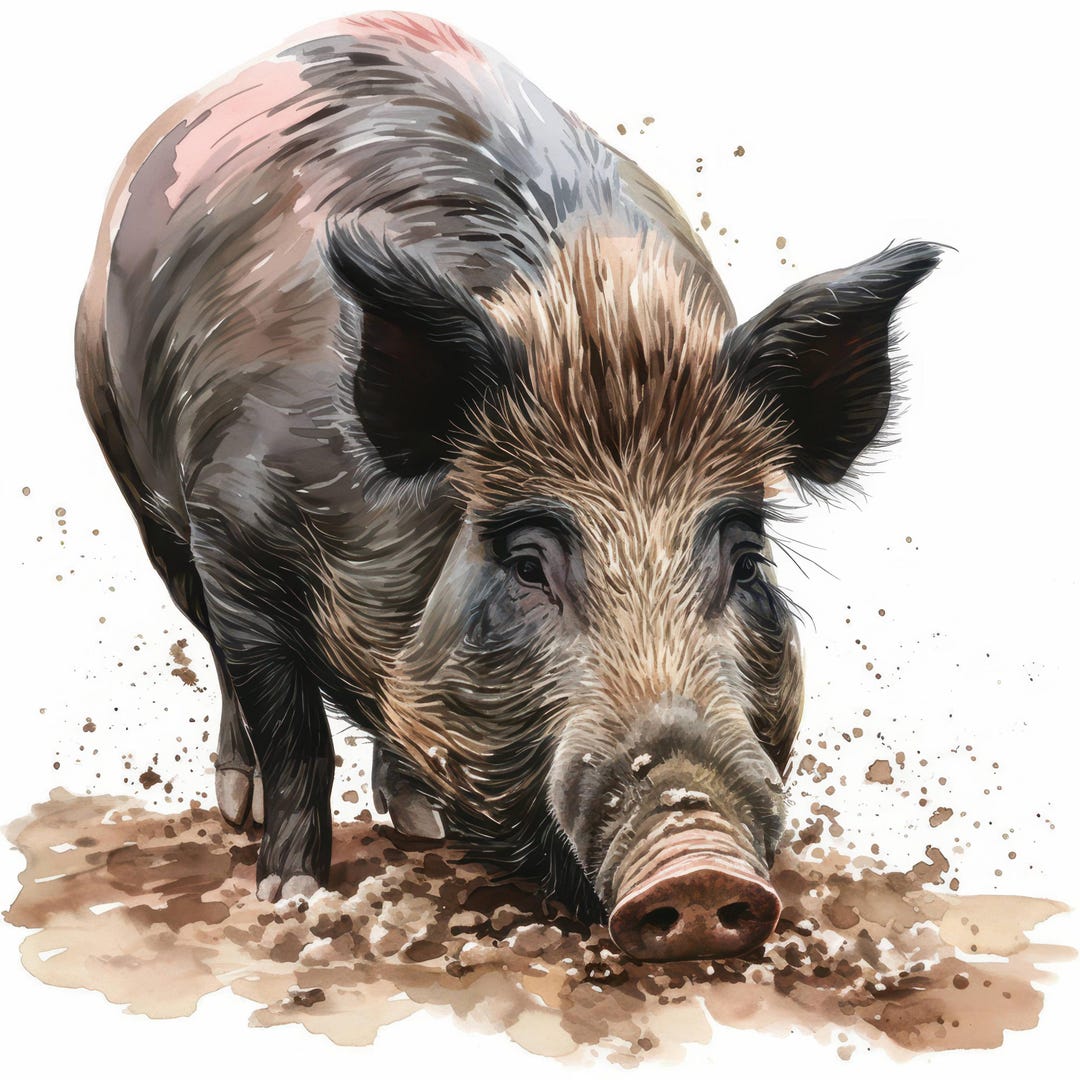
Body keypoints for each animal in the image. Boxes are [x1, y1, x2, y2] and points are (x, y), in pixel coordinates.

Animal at [75, 11, 940, 961]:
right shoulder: (233, 533)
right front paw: (291, 897)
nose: (699, 867)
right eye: (528, 563)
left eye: (746, 560)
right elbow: (295, 733)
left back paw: (418, 823)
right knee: (220, 659)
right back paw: (244, 805)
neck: (598, 331)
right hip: (139, 485)